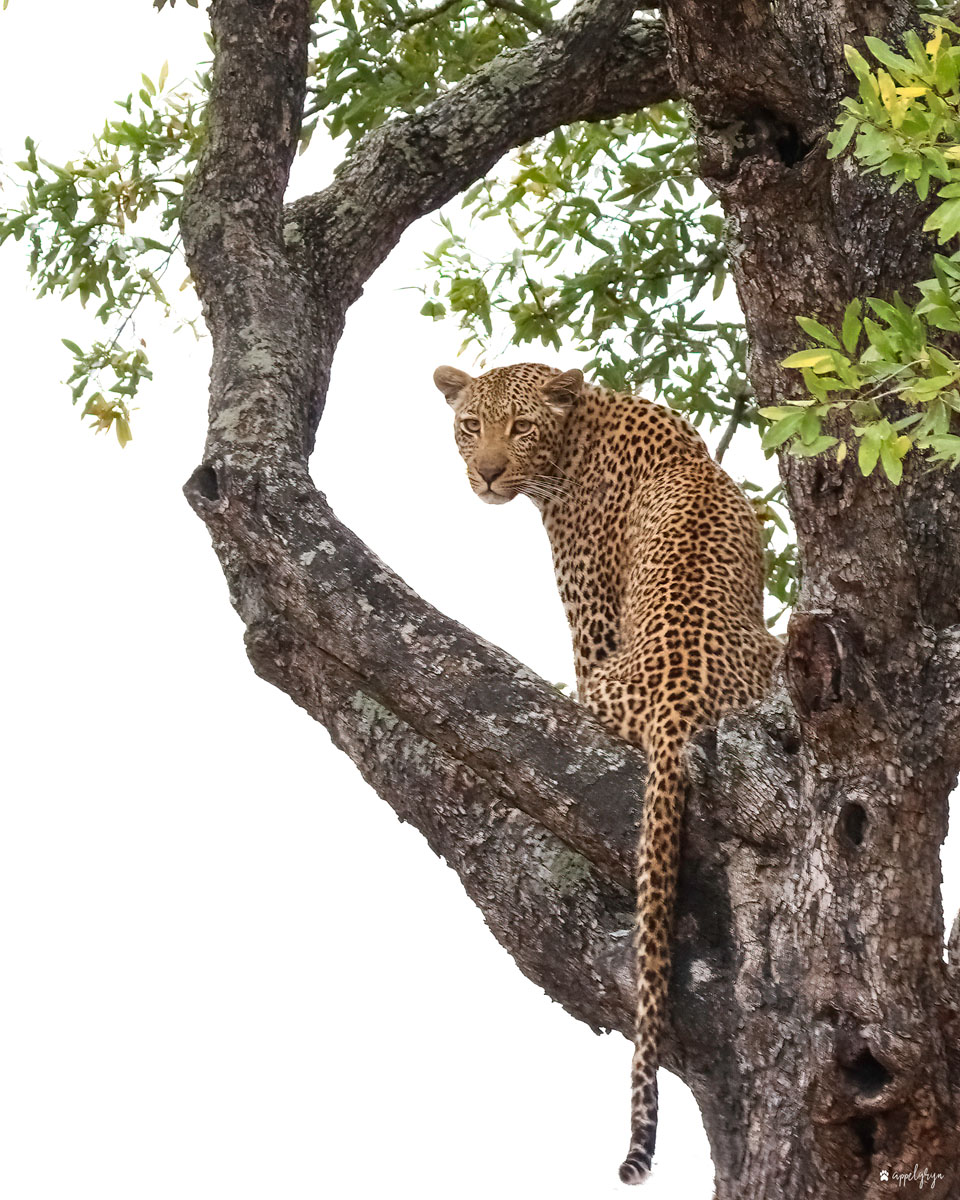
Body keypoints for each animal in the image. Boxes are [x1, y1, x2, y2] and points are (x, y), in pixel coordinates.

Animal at [434, 360, 781, 1185]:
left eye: (519, 428)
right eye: (470, 426)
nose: (486, 473)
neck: (581, 427)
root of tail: (679, 704)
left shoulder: (590, 619)